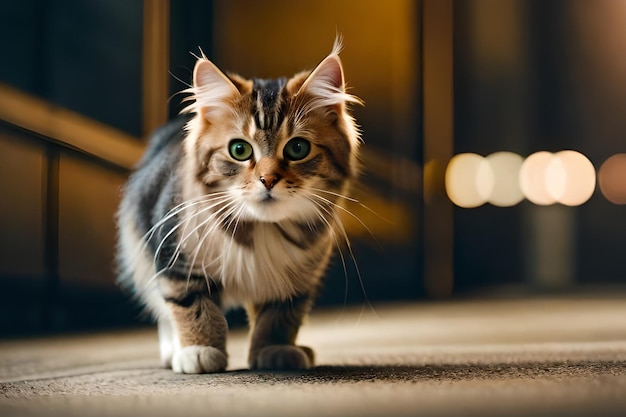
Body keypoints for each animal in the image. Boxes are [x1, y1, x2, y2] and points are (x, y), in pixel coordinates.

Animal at [116, 39, 360, 374]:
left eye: (298, 148)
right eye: (239, 150)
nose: (268, 180)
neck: (261, 229)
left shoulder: (298, 278)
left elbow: (280, 317)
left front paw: (274, 350)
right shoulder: (174, 256)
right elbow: (193, 306)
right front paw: (199, 350)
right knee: (162, 309)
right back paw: (173, 351)